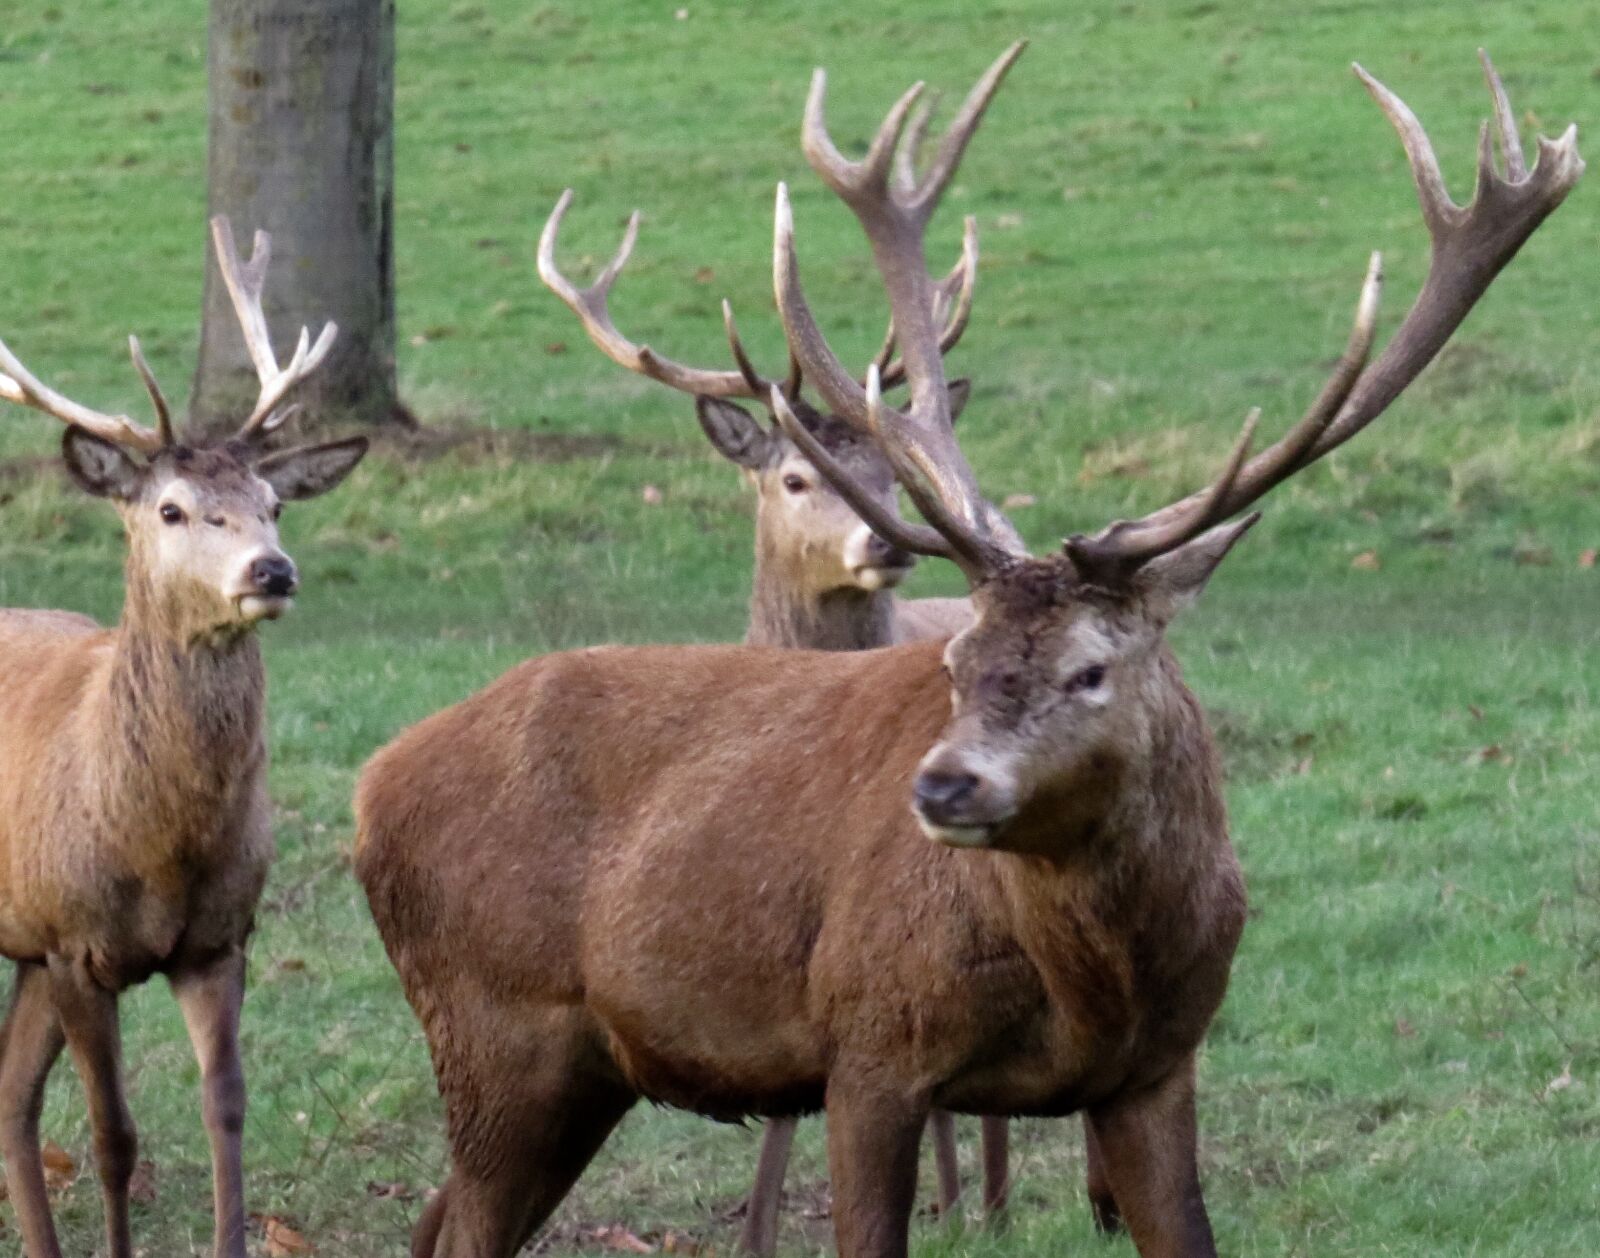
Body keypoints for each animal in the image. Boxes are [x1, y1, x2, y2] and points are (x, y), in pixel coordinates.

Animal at [0, 217, 368, 1258]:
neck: (159, 843)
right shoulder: (77, 945)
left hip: (27, 946)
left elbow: (226, 1112)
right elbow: (114, 1136)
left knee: (11, 1099)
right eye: (169, 508)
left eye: (274, 504)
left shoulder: (218, 938)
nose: (272, 570)